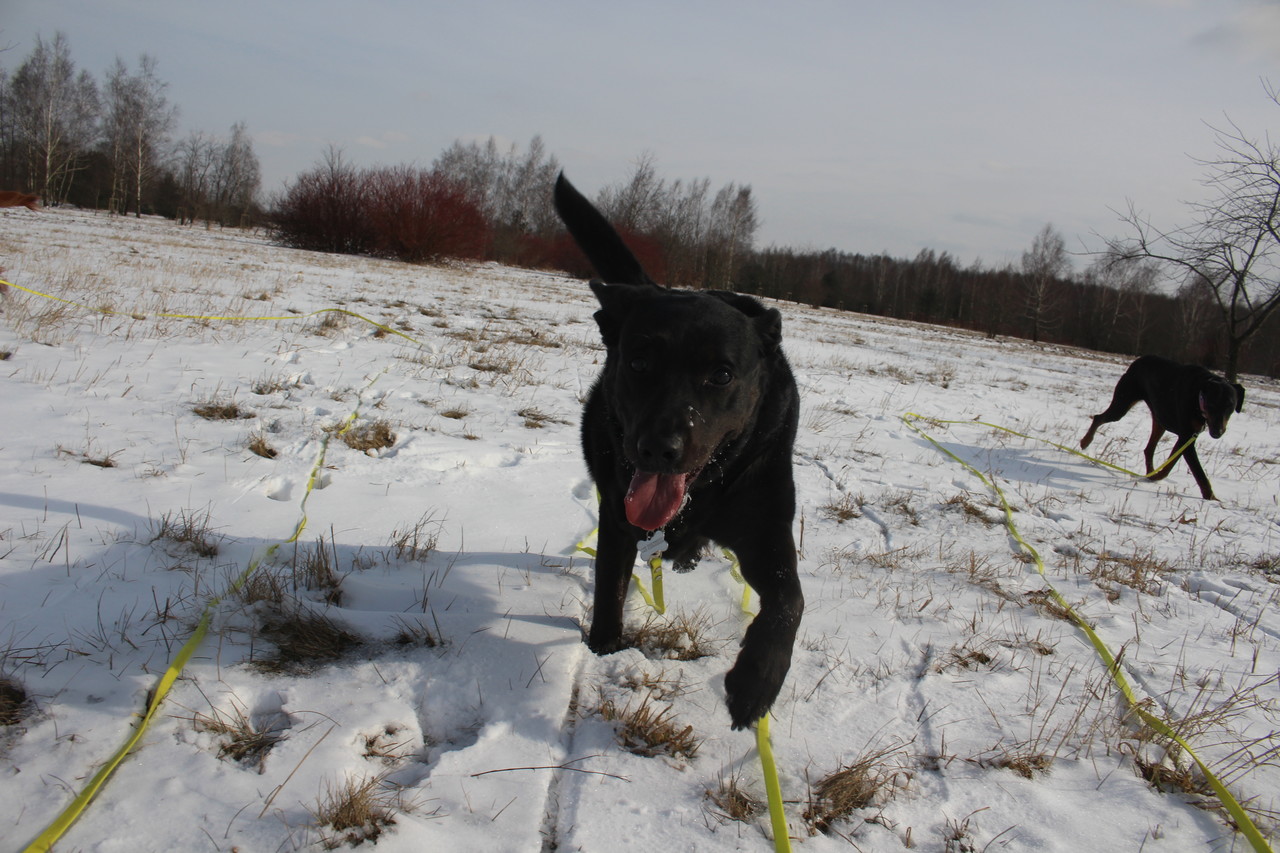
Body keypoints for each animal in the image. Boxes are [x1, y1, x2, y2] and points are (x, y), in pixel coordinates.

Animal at [554, 173, 803, 730]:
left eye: (722, 374)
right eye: (639, 362)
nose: (657, 449)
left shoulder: (766, 526)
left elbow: (788, 600)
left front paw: (756, 682)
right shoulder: (617, 516)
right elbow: (609, 587)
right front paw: (603, 648)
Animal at [1080, 355, 1245, 500]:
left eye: (1230, 406)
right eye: (1211, 404)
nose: (1218, 432)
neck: (1199, 398)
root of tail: (1139, 360)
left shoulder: (1187, 437)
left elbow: (1169, 465)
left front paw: (1156, 477)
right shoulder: (1187, 435)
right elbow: (1199, 473)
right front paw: (1212, 499)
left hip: (1159, 420)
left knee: (1149, 449)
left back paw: (1150, 473)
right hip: (1123, 402)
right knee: (1099, 418)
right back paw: (1085, 441)